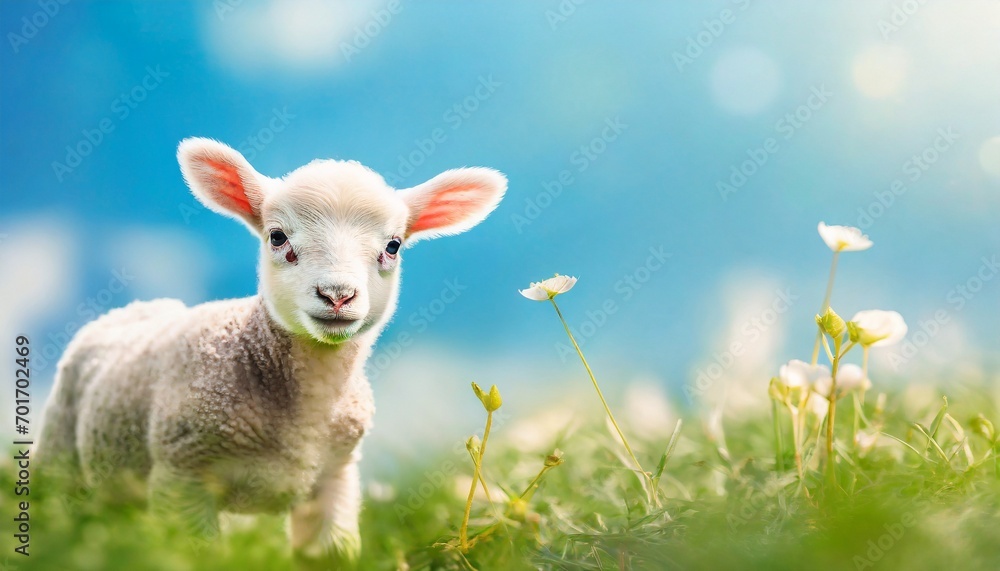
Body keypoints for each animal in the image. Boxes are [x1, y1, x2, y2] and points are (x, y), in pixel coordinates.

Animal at [38, 137, 507, 566]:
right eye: (277, 237)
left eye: (392, 246)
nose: (337, 295)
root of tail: (135, 307)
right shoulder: (183, 477)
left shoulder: (335, 478)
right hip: (61, 454)